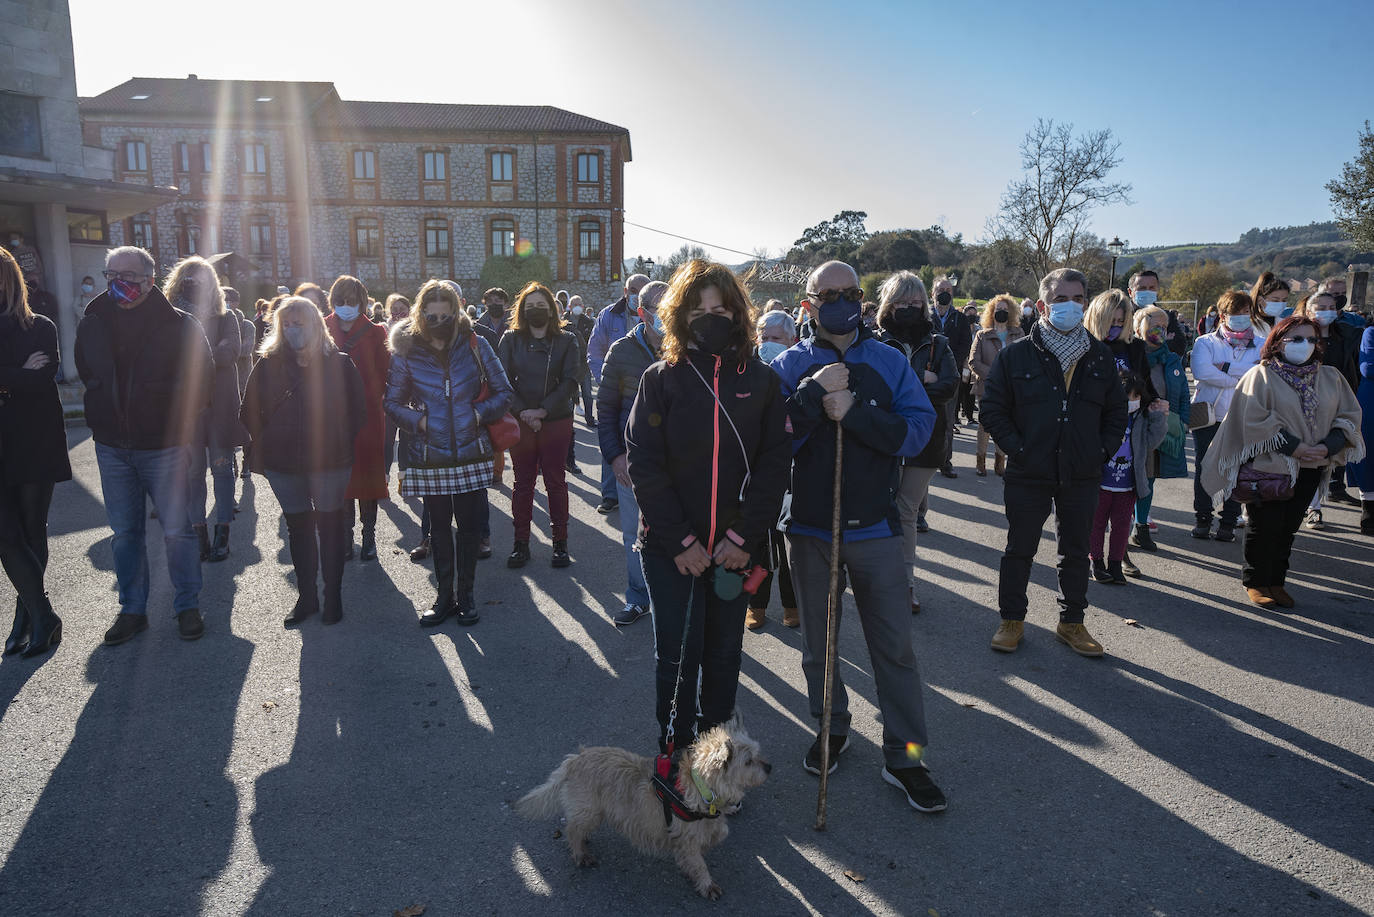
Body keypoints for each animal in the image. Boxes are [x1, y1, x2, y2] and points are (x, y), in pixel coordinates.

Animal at [516, 720, 774, 901]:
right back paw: (580, 854)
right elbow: (699, 863)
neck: (700, 786)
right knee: (571, 830)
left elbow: (711, 839)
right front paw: (706, 884)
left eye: (757, 754)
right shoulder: (687, 839)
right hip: (589, 810)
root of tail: (574, 759)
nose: (769, 767)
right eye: (748, 761)